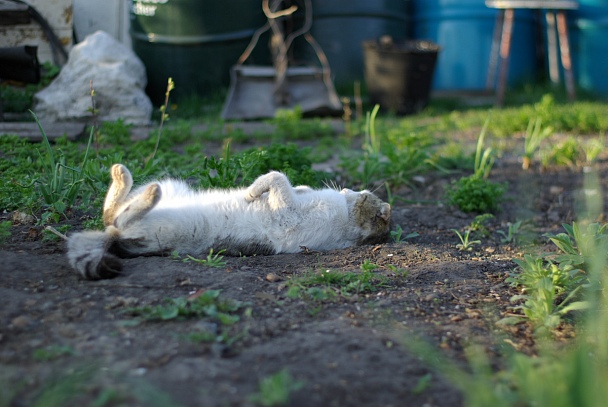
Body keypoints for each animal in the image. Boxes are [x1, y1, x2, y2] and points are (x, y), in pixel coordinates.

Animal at [65, 163, 390, 280]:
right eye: (362, 192)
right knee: (113, 211)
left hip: (155, 225)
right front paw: (297, 187)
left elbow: (277, 176)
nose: (349, 190)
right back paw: (126, 177)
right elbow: (288, 182)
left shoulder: (288, 215)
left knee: (115, 217)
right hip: (170, 186)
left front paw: (250, 193)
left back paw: (137, 186)